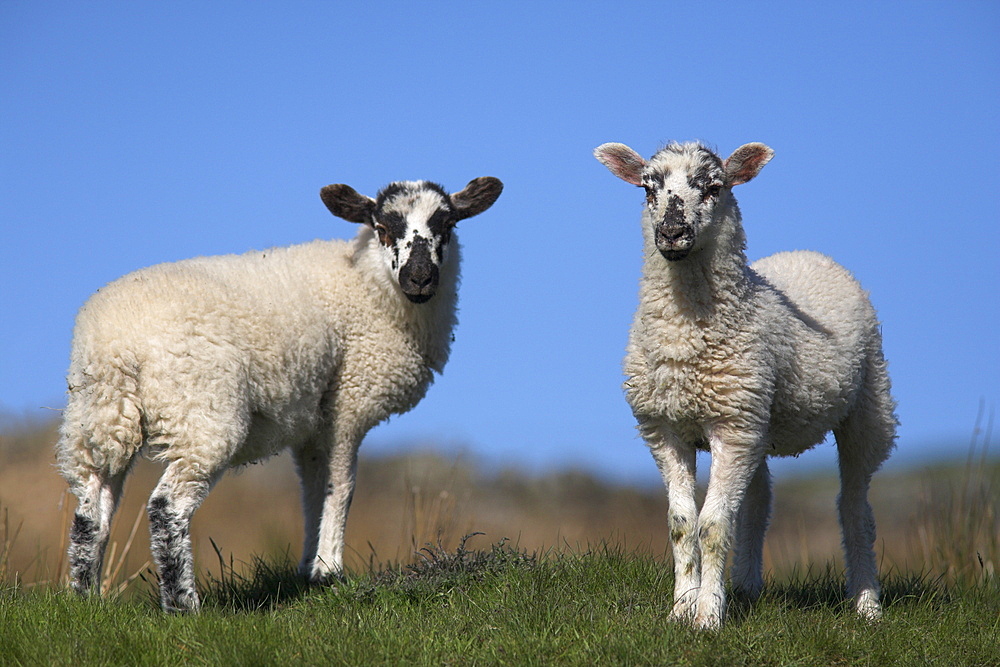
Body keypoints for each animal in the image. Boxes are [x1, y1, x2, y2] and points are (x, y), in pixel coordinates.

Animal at [58, 176, 504, 612]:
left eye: (448, 224)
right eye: (382, 228)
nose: (420, 278)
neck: (366, 286)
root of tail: (117, 341)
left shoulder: (314, 421)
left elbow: (313, 490)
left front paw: (310, 569)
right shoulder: (348, 404)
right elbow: (342, 487)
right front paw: (329, 570)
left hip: (100, 417)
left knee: (91, 510)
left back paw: (84, 601)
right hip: (201, 412)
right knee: (166, 508)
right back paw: (184, 607)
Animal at [592, 141, 900, 632]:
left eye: (714, 187)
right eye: (647, 188)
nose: (672, 232)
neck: (686, 337)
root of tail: (807, 253)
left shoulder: (731, 428)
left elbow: (713, 525)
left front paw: (706, 618)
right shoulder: (666, 430)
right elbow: (682, 523)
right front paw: (682, 609)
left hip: (869, 405)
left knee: (855, 509)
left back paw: (867, 604)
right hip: (759, 421)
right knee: (758, 504)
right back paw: (748, 587)